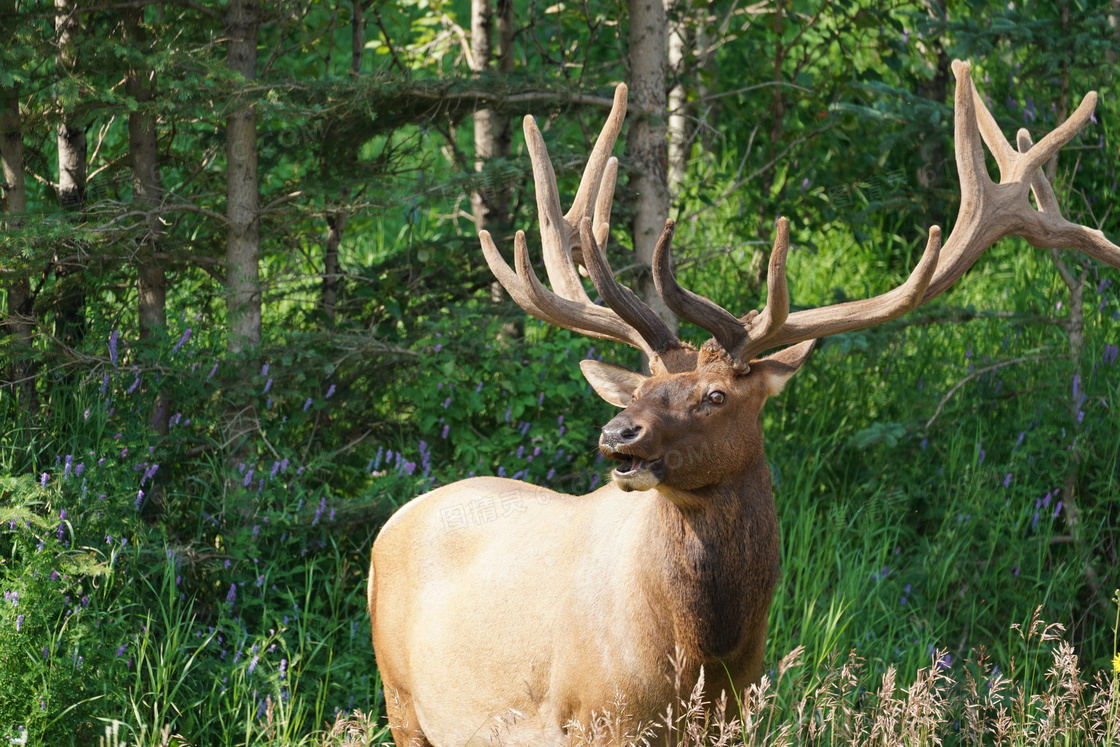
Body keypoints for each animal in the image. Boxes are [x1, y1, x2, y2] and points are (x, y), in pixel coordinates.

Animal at [369, 59, 1120, 747]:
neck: (703, 660)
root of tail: (394, 520)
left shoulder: (736, 716)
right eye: (641, 387)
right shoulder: (589, 719)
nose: (618, 434)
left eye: (715, 394)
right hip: (401, 698)